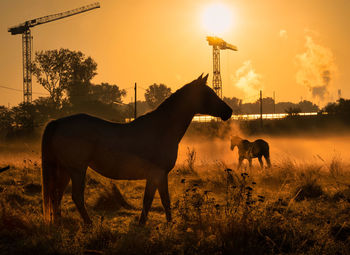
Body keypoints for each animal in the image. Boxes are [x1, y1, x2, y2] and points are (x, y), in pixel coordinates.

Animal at [41, 74, 232, 225]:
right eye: (208, 93)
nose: (229, 111)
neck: (161, 129)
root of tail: (58, 122)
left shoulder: (161, 175)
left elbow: (164, 200)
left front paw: (169, 224)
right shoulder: (156, 173)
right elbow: (148, 200)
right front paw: (142, 225)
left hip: (65, 169)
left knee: (56, 195)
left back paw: (59, 223)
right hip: (77, 170)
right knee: (76, 197)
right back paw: (89, 224)